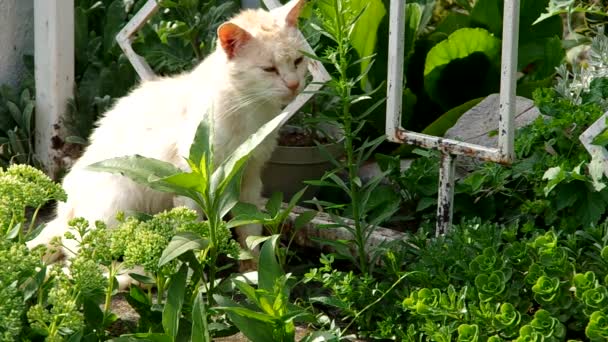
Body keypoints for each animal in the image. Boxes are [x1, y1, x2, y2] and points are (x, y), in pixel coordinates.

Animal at [27, 0, 308, 264]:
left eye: (298, 60)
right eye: (269, 69)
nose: (294, 84)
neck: (250, 109)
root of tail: (63, 211)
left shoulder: (249, 177)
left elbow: (250, 230)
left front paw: (255, 268)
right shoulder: (191, 181)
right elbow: (192, 231)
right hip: (117, 202)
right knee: (76, 254)